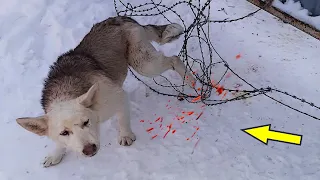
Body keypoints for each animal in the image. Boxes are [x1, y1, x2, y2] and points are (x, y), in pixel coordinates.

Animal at [16, 15, 196, 167]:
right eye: (64, 133)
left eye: (86, 122)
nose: (89, 149)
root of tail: (121, 17)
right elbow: (58, 142)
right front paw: (56, 153)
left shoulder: (118, 97)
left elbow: (122, 119)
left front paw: (125, 135)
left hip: (144, 64)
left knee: (174, 59)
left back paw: (190, 80)